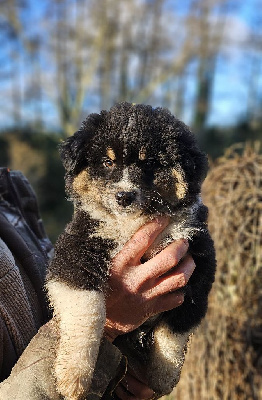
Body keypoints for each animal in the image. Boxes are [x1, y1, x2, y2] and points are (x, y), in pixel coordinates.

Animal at [46, 103, 216, 400]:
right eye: (108, 162)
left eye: (149, 163)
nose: (124, 196)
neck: (133, 223)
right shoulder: (75, 254)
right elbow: (87, 311)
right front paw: (74, 378)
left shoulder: (198, 261)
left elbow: (176, 327)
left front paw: (164, 376)